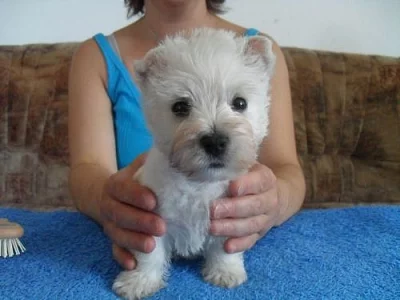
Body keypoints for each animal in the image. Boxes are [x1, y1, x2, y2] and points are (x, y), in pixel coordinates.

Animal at [111, 27, 276, 298]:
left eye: (240, 103)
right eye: (180, 106)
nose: (215, 141)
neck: (198, 183)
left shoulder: (229, 217)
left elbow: (225, 247)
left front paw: (225, 273)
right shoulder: (150, 218)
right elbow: (149, 253)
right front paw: (138, 282)